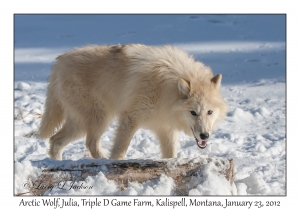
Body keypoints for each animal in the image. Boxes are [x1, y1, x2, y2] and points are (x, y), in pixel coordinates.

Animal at [39, 43, 227, 160]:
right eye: (193, 112)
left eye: (209, 112)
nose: (205, 135)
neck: (164, 90)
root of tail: (59, 62)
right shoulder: (130, 119)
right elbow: (119, 151)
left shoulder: (167, 128)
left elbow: (171, 156)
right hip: (100, 118)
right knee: (90, 144)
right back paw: (103, 162)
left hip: (80, 125)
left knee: (55, 141)